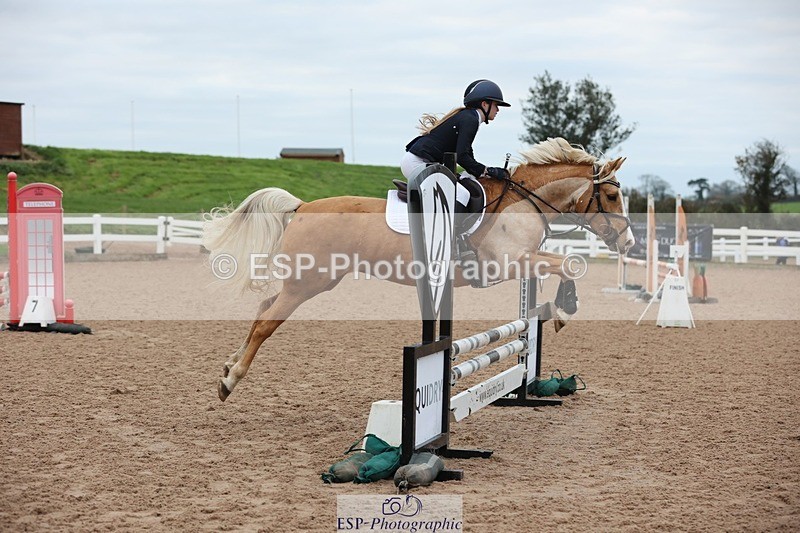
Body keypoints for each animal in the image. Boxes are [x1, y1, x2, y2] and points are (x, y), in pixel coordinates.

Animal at [203, 137, 635, 401]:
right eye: (613, 196)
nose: (628, 243)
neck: (523, 203)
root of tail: (303, 205)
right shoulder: (509, 263)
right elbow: (572, 263)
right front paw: (565, 309)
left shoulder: (523, 262)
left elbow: (565, 265)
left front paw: (561, 308)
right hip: (308, 283)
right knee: (266, 322)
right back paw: (230, 380)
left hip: (312, 281)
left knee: (263, 309)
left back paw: (228, 365)